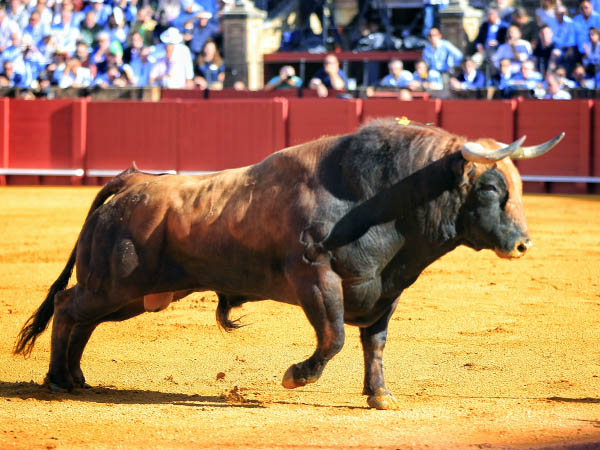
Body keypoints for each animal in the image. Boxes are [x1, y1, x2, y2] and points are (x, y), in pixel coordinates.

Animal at [15, 118, 568, 408]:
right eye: (492, 188)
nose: (522, 245)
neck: (376, 199)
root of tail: (131, 181)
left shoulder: (385, 290)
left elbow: (374, 343)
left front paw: (379, 396)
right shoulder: (316, 278)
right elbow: (335, 337)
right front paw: (296, 376)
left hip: (134, 297)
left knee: (82, 319)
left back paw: (76, 377)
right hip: (114, 285)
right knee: (68, 308)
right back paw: (58, 380)